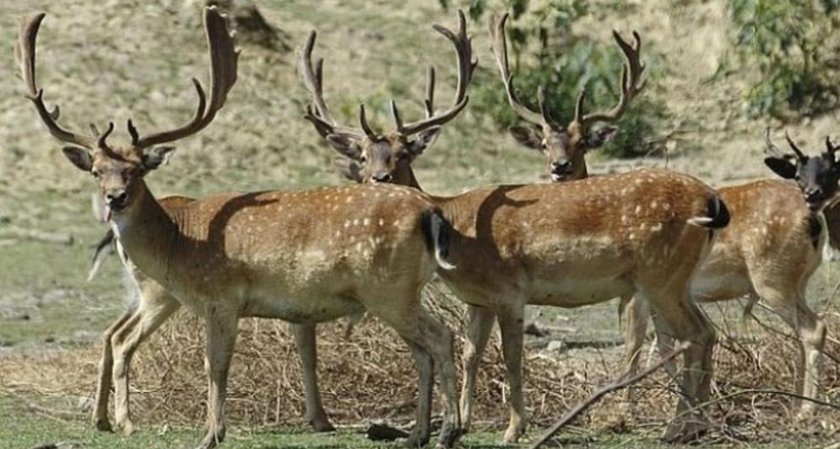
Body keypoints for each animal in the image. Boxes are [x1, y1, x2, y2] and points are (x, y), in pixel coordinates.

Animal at [18, 7, 466, 448]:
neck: (180, 244)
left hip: (388, 288)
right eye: (96, 171)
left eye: (136, 169)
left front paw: (210, 435)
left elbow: (215, 364)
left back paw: (448, 430)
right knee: (422, 349)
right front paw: (214, 430)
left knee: (441, 337)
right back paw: (418, 434)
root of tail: (429, 210)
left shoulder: (222, 296)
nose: (115, 198)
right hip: (396, 292)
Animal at [300, 12, 728, 442]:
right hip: (674, 279)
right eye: (362, 155)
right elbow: (471, 352)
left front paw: (513, 429)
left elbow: (511, 358)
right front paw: (463, 422)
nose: (380, 179)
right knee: (704, 334)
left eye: (403, 152)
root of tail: (710, 198)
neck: (457, 233)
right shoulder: (478, 299)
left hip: (660, 273)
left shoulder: (509, 290)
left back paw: (682, 427)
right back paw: (694, 426)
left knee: (696, 335)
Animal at [488, 11, 836, 416]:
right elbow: (665, 348)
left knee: (812, 329)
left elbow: (636, 346)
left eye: (582, 142)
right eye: (544, 143)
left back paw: (806, 409)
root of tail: (815, 218)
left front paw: (624, 407)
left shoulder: (637, 293)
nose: (560, 167)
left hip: (771, 275)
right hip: (796, 279)